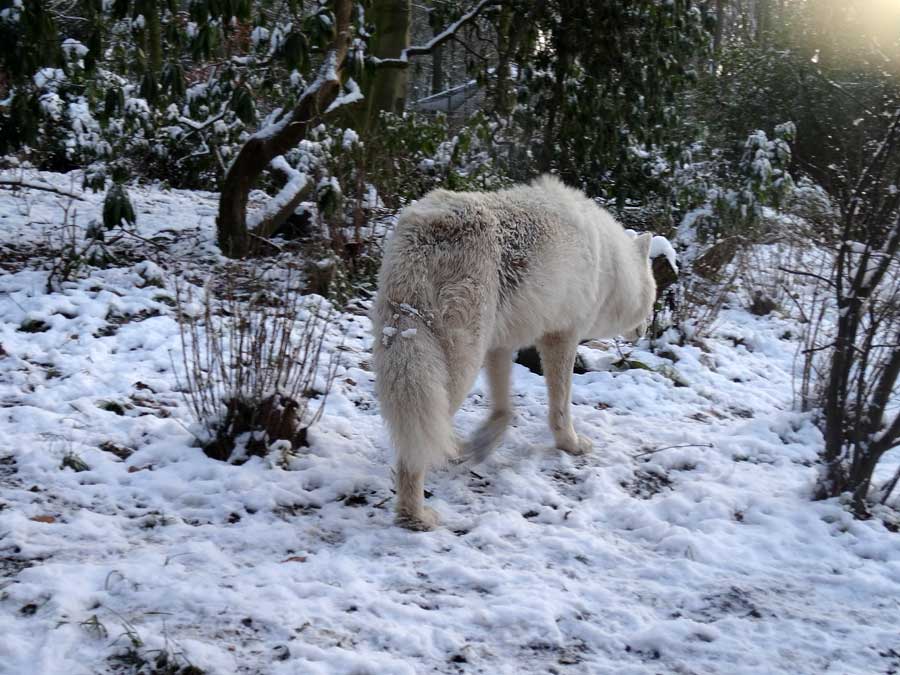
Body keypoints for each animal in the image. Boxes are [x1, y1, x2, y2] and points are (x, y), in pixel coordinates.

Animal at [370, 173, 652, 528]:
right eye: (653, 296)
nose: (647, 329)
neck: (612, 266)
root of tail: (429, 229)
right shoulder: (561, 337)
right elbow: (560, 407)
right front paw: (571, 445)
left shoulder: (501, 345)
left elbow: (504, 409)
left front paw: (481, 444)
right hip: (458, 367)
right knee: (418, 443)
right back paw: (415, 515)